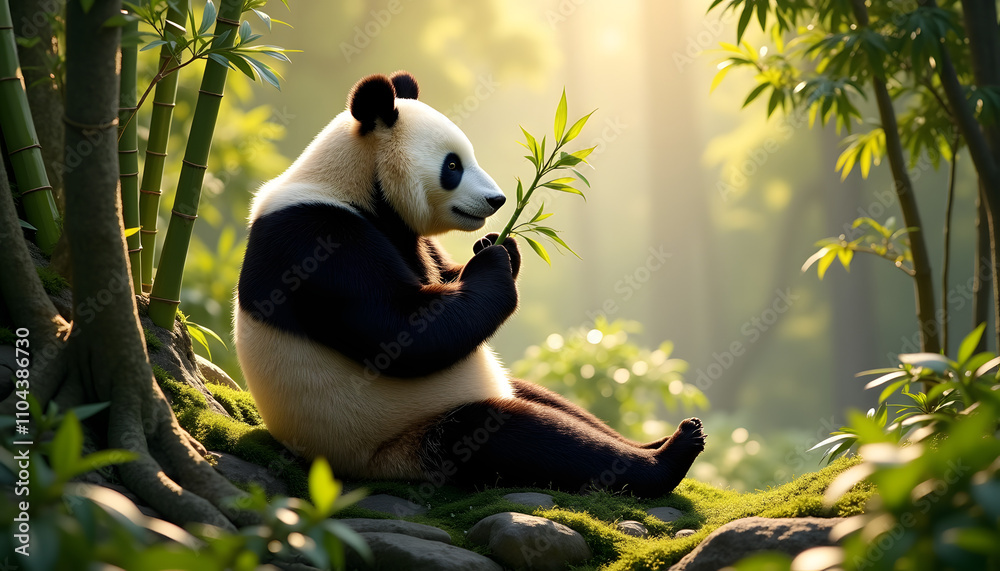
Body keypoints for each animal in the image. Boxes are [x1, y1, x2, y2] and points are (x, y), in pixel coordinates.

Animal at [234, 71, 706, 497]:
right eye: (452, 165)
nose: (497, 200)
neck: (348, 184)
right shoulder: (316, 241)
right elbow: (401, 332)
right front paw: (493, 261)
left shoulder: (406, 236)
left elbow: (442, 280)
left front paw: (498, 245)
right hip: (400, 438)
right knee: (513, 435)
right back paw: (668, 457)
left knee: (548, 403)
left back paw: (658, 441)